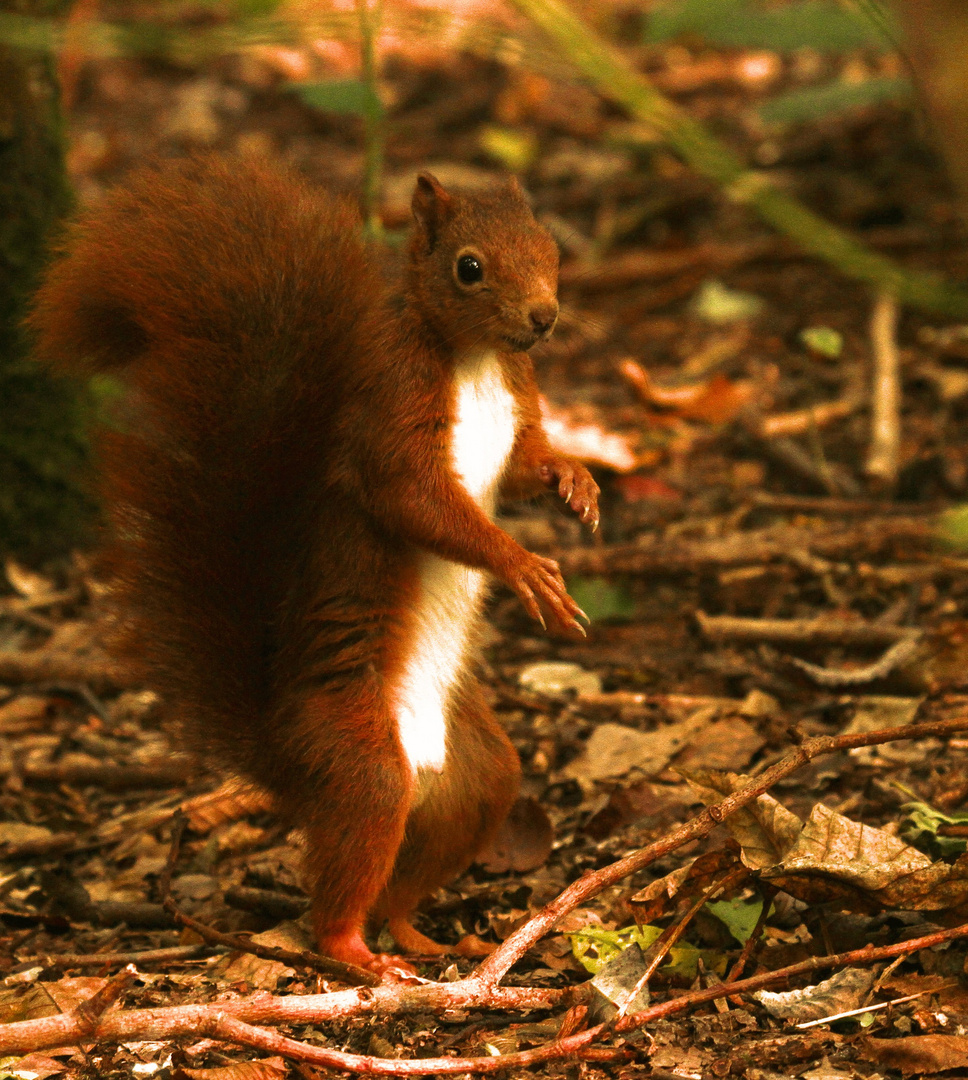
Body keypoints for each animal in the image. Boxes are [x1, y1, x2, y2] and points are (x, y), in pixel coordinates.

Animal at [28, 156, 596, 976]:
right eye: (469, 268)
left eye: (550, 247)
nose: (543, 318)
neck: (481, 359)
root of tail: (287, 758)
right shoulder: (392, 409)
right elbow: (414, 498)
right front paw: (523, 566)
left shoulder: (520, 404)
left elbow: (525, 467)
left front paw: (577, 480)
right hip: (360, 754)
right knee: (340, 888)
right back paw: (357, 952)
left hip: (477, 781)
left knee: (410, 875)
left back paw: (423, 936)